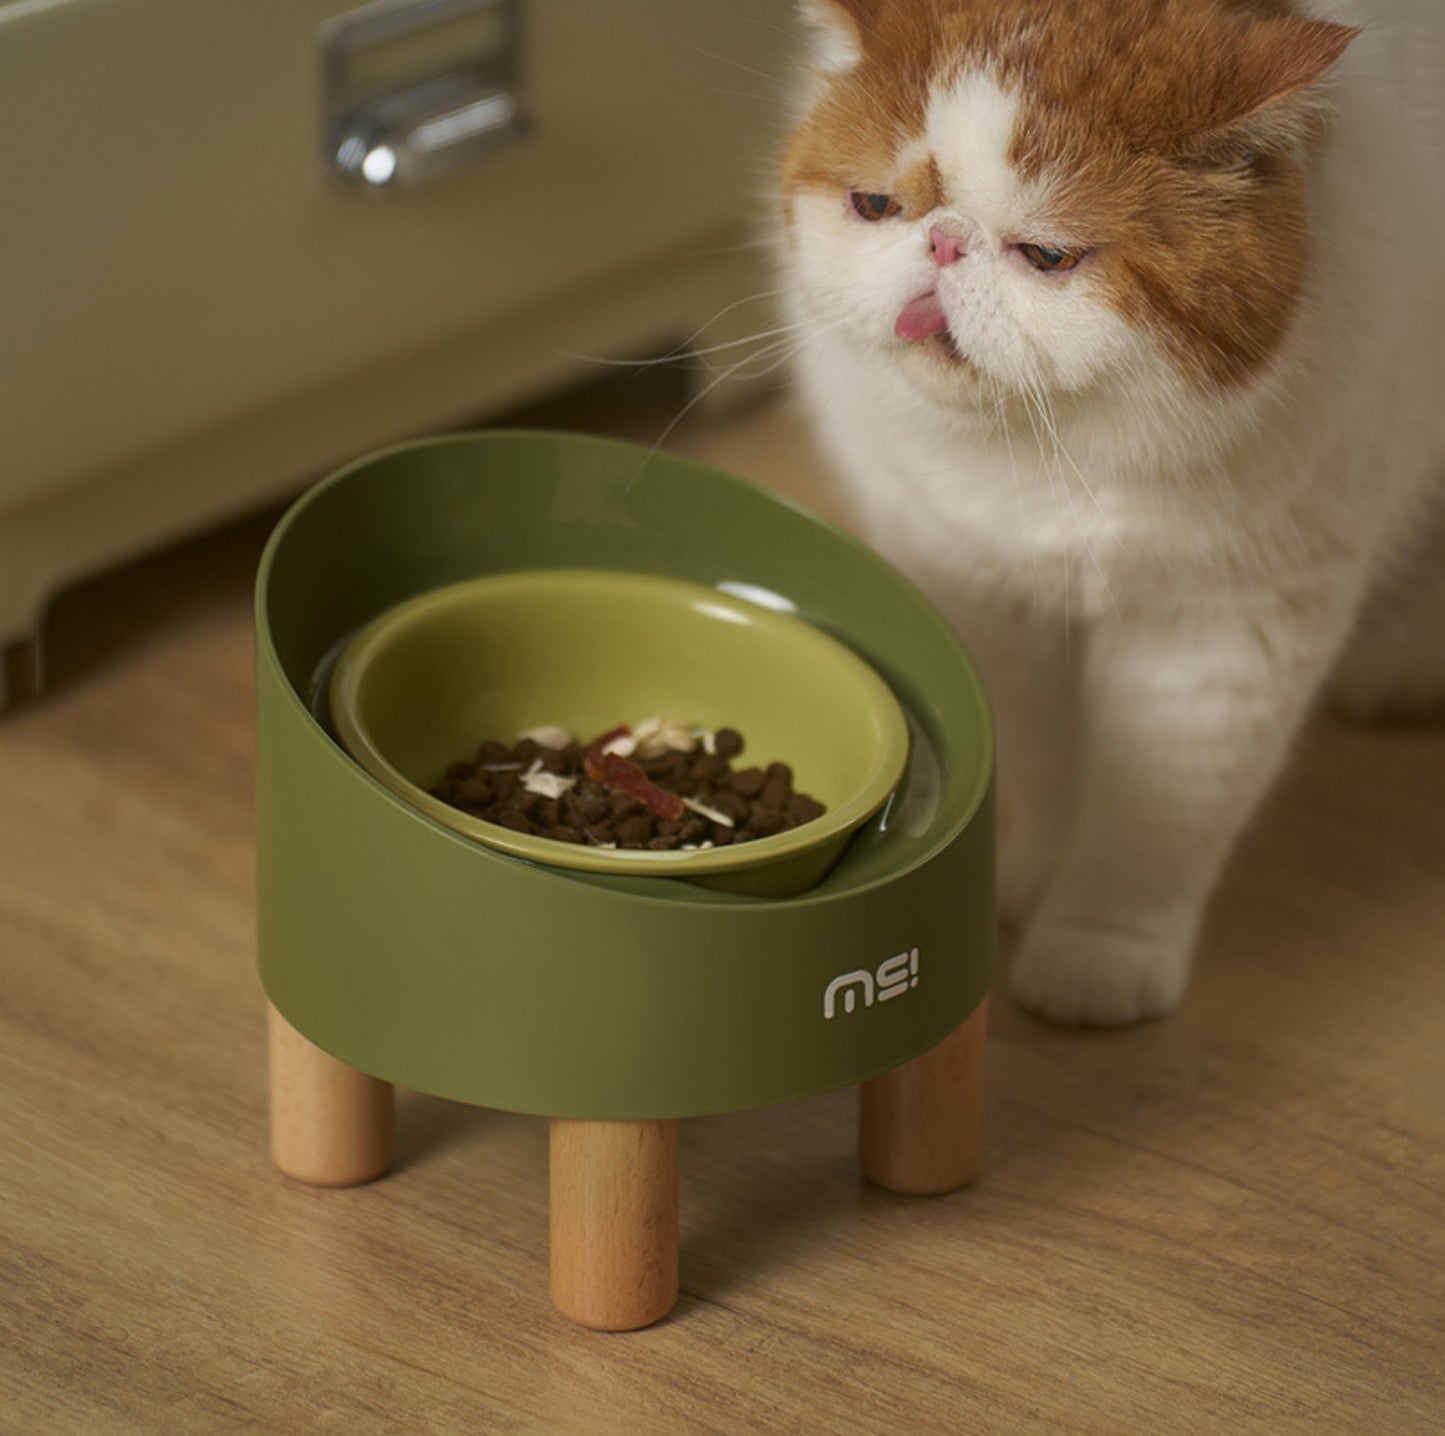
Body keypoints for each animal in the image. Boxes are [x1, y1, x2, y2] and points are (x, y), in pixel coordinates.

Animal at [780, 2, 1445, 1028]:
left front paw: (1096, 947)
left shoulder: (1223, 633)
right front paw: (1033, 869)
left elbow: (1160, 813)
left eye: (1048, 256)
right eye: (875, 206)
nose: (942, 242)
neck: (1051, 463)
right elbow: (1038, 749)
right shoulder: (980, 593)